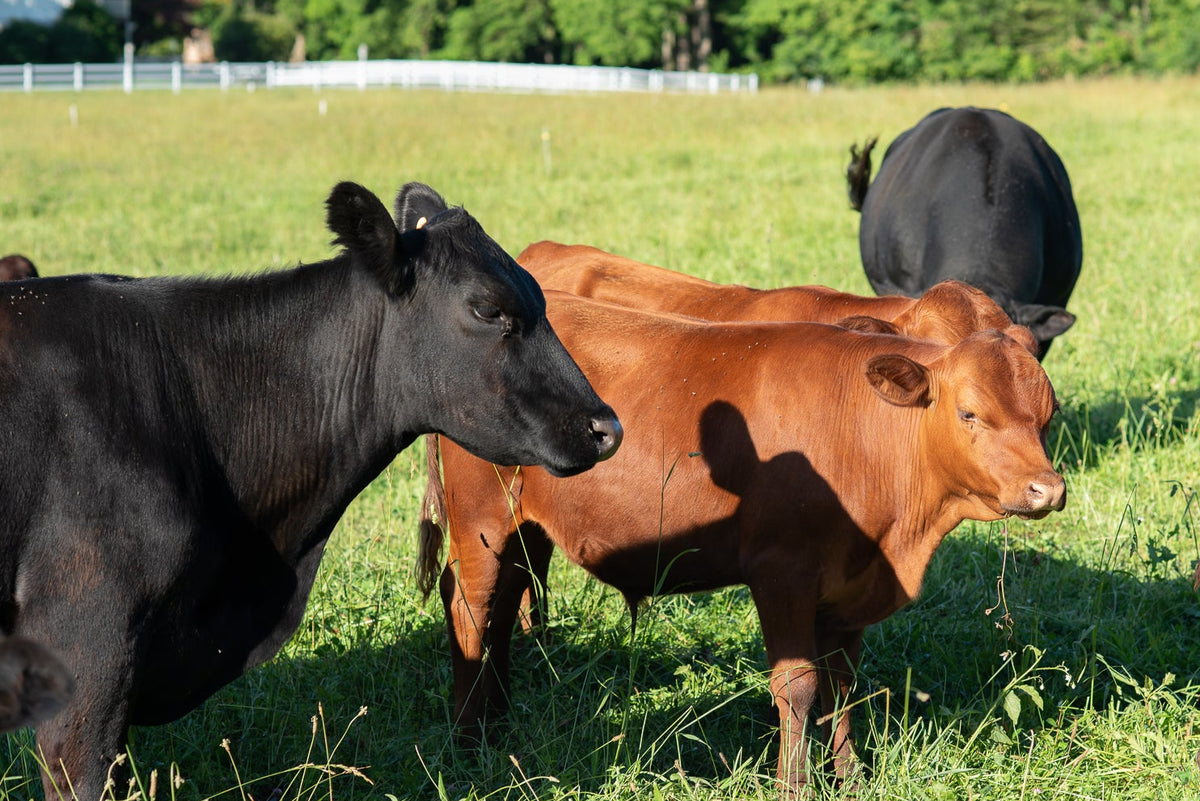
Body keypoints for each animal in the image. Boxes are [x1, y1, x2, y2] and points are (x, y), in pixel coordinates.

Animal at [417, 291, 1065, 796]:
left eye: (1048, 413)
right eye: (969, 413)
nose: (1047, 489)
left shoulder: (851, 584)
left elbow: (844, 685)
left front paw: (851, 778)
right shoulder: (782, 574)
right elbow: (798, 688)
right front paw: (793, 786)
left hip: (523, 529)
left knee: (504, 606)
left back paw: (499, 721)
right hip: (482, 518)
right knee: (471, 608)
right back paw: (468, 742)